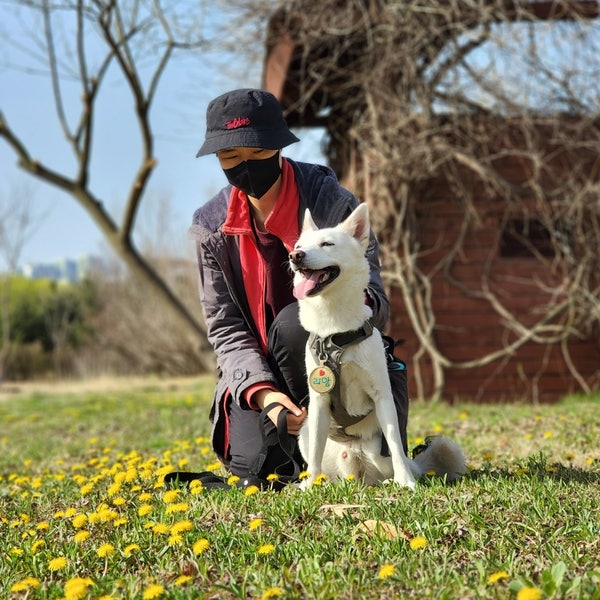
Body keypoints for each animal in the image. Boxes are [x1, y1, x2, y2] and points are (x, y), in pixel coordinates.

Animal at [288, 205, 466, 488]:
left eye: (327, 244)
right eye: (298, 245)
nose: (295, 256)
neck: (335, 332)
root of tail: (356, 466)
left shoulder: (382, 397)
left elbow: (394, 442)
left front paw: (406, 482)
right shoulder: (319, 402)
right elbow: (315, 452)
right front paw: (310, 485)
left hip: (378, 454)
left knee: (394, 460)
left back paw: (395, 478)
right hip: (305, 432)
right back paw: (323, 481)